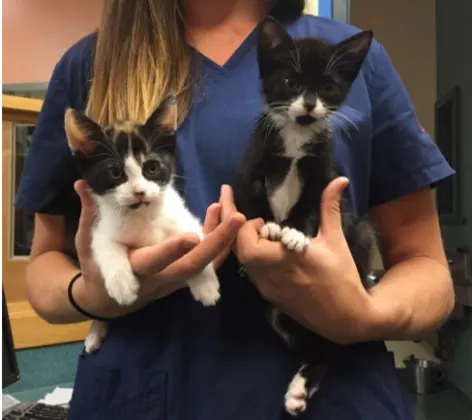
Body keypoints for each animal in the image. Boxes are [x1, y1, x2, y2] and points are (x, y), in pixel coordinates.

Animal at [64, 96, 221, 354]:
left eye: (152, 167)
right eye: (115, 172)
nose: (139, 191)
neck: (142, 213)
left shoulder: (184, 220)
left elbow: (197, 246)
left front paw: (206, 285)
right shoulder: (100, 228)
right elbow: (106, 245)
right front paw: (122, 284)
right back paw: (96, 331)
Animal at [232, 18, 376, 416]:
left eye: (328, 87)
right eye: (290, 82)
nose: (309, 105)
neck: (296, 136)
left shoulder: (322, 171)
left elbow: (311, 203)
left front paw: (295, 233)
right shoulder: (251, 165)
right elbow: (251, 197)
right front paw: (267, 225)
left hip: (355, 250)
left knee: (331, 345)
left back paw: (300, 387)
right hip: (280, 315)